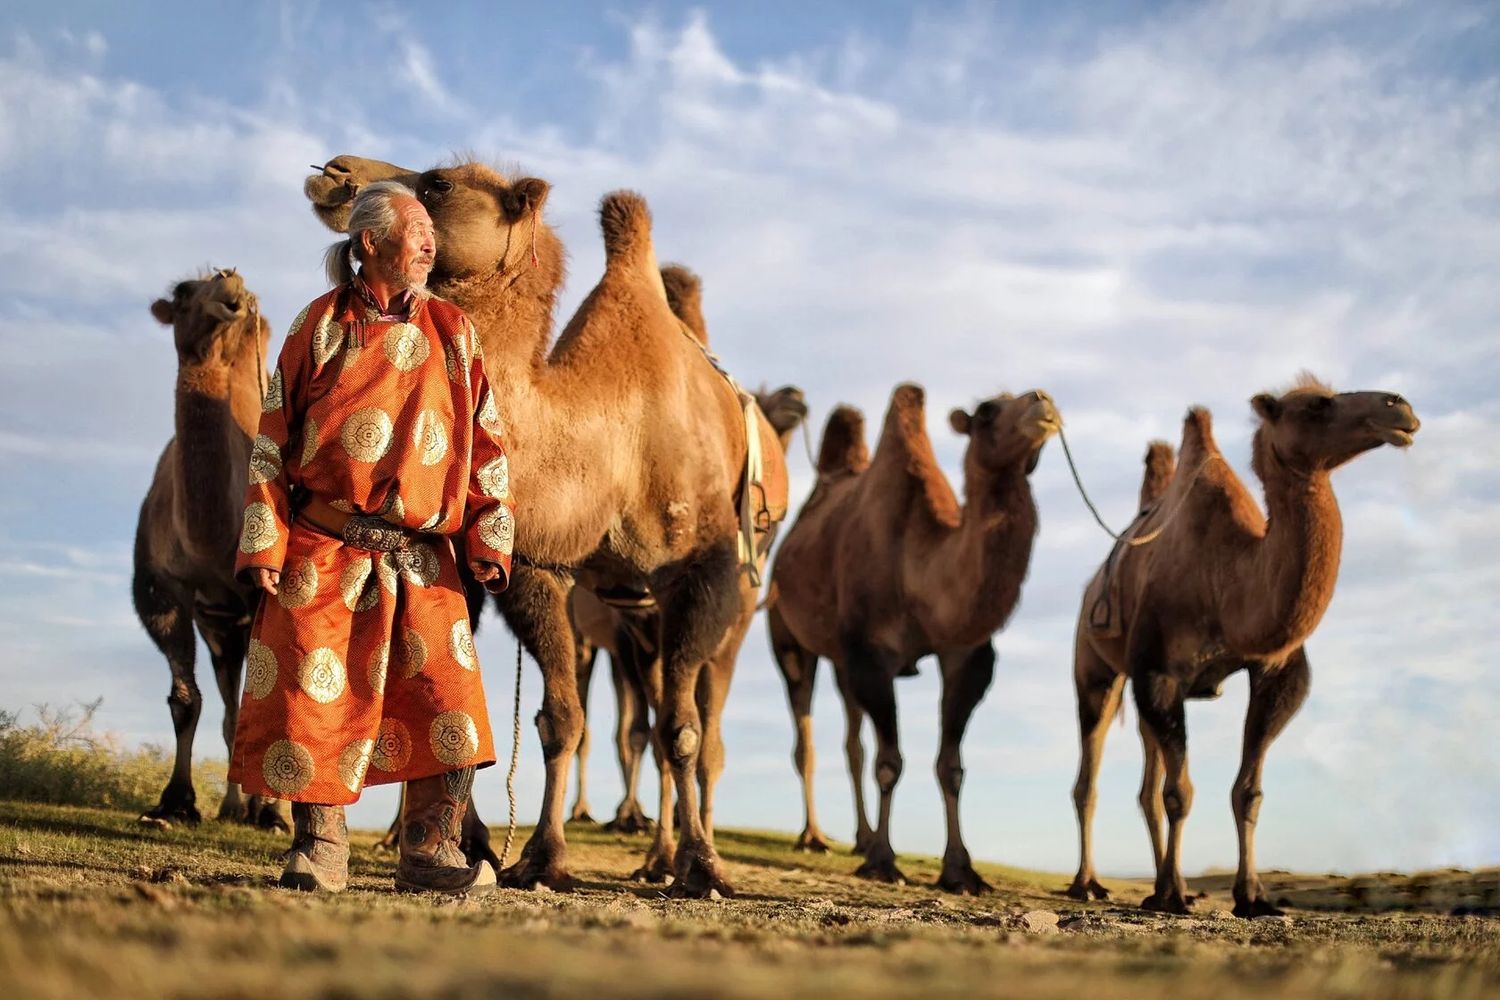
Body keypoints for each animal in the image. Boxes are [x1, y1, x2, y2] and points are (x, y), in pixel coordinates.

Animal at [135, 269, 289, 833]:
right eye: (182, 291)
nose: (232, 289)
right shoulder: (161, 590)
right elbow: (186, 700)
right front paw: (175, 803)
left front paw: (273, 814)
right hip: (220, 627)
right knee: (228, 707)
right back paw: (232, 806)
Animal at [309, 158, 792, 899]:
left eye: (438, 182)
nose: (336, 175)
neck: (619, 445)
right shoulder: (544, 567)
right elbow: (560, 718)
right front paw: (539, 857)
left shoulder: (704, 571)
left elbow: (683, 731)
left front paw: (705, 866)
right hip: (635, 619)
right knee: (651, 716)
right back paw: (654, 857)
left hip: (739, 600)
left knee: (702, 731)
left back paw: (686, 853)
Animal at [768, 383, 1062, 893]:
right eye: (988, 410)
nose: (1043, 401)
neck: (918, 568)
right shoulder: (872, 654)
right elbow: (890, 761)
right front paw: (884, 861)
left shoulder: (966, 654)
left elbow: (951, 766)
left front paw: (960, 870)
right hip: (789, 637)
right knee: (806, 732)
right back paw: (814, 837)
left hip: (843, 661)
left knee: (853, 743)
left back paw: (861, 837)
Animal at [1068, 374, 1416, 917]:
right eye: (1316, 404)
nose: (1400, 407)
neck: (1227, 579)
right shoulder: (1159, 672)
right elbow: (1180, 792)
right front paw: (1175, 897)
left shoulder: (1277, 671)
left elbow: (1246, 791)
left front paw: (1250, 895)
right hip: (1096, 669)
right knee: (1090, 780)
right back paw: (1089, 882)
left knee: (1146, 788)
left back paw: (1160, 882)